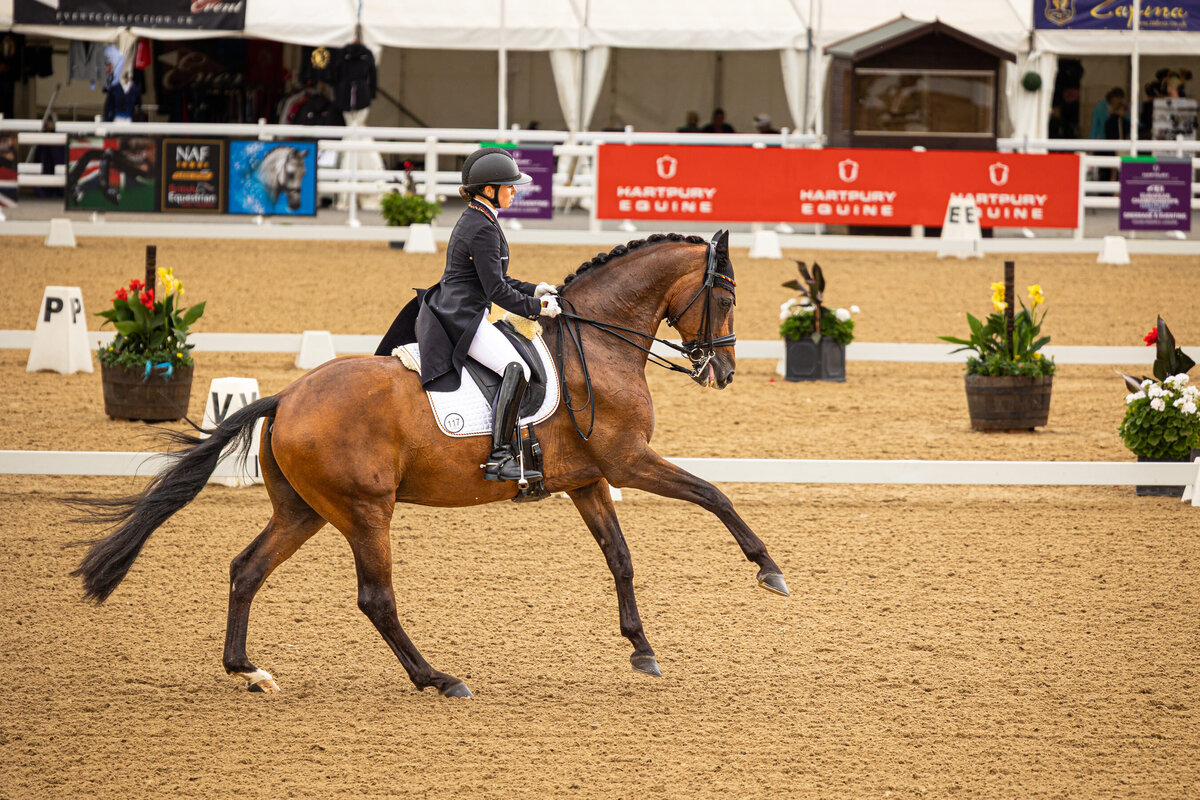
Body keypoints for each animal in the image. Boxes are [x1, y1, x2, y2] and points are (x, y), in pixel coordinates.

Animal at [69, 230, 789, 699]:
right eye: (726, 297)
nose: (722, 371)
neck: (600, 345)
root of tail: (289, 396)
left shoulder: (587, 479)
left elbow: (621, 558)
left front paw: (642, 649)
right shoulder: (628, 460)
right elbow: (715, 495)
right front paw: (770, 571)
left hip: (304, 510)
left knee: (247, 569)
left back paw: (248, 670)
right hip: (364, 510)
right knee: (376, 598)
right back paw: (437, 678)